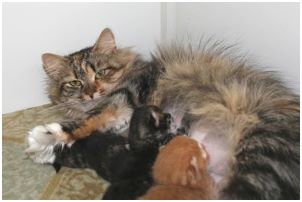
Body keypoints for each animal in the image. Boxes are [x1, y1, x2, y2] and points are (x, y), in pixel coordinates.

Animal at [26, 28, 300, 199]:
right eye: (75, 83)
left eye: (101, 73)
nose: (92, 92)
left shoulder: (126, 97)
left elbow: (87, 121)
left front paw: (44, 137)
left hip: (262, 151)